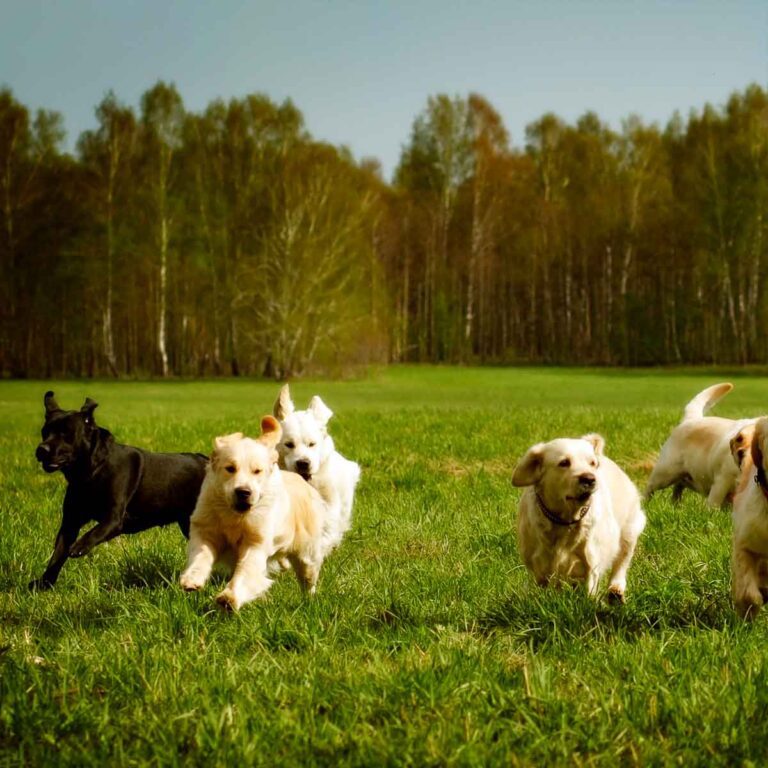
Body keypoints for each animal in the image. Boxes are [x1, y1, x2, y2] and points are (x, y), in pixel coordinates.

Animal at [32, 392, 207, 592]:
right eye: (45, 432)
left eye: (65, 433)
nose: (41, 449)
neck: (92, 471)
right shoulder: (70, 522)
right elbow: (57, 555)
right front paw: (44, 583)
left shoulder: (113, 518)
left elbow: (94, 532)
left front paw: (79, 546)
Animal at [180, 416, 328, 608]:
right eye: (230, 468)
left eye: (257, 471)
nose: (243, 492)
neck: (234, 516)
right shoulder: (205, 528)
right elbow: (201, 554)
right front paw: (192, 579)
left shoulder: (256, 541)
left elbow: (246, 570)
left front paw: (229, 598)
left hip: (306, 552)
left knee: (308, 576)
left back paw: (309, 600)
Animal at [512, 432, 644, 600]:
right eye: (564, 462)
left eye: (592, 463)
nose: (590, 479)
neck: (564, 520)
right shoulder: (537, 564)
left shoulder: (591, 561)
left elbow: (590, 589)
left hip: (629, 531)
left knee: (622, 562)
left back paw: (616, 590)